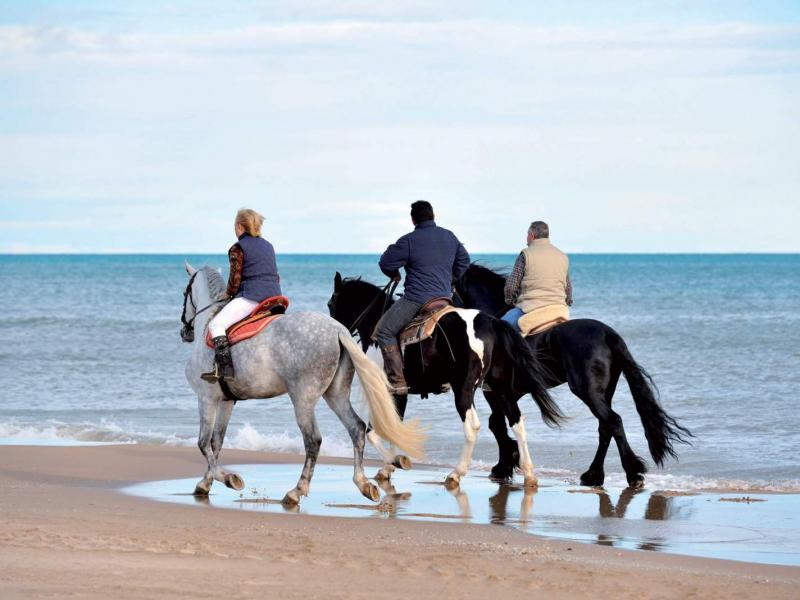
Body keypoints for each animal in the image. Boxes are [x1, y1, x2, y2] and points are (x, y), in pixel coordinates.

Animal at [180, 264, 424, 504]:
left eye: (185, 293)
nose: (185, 332)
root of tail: (338, 330)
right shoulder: (227, 401)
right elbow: (216, 442)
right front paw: (205, 483)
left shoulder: (206, 398)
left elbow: (203, 442)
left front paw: (227, 478)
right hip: (335, 394)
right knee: (356, 428)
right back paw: (363, 484)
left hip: (303, 400)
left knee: (313, 440)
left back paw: (297, 490)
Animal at [324, 272, 564, 488]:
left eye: (331, 302)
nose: (333, 331)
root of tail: (492, 323)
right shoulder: (400, 394)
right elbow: (394, 427)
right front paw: (388, 467)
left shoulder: (387, 391)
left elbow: (376, 431)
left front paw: (394, 462)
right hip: (499, 387)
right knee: (516, 422)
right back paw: (529, 474)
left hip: (464, 390)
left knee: (472, 427)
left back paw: (456, 474)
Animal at [454, 264, 692, 488]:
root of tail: (608, 334)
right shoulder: (510, 393)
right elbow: (499, 422)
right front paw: (507, 461)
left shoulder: (496, 392)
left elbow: (496, 423)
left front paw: (503, 465)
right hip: (604, 391)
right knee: (605, 428)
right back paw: (593, 476)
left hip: (587, 390)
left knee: (613, 422)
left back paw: (631, 473)